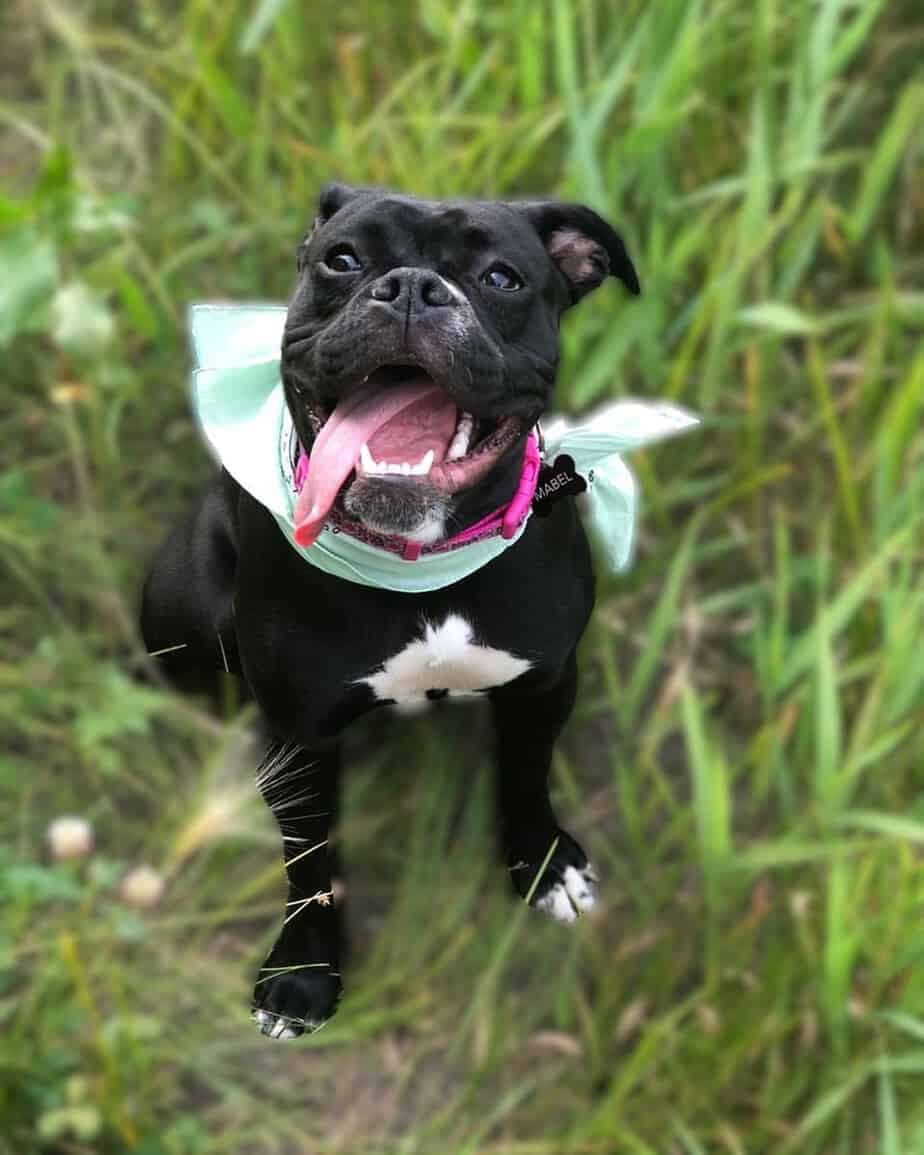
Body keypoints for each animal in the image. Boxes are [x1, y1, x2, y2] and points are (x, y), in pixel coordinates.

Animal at [140, 182, 637, 1039]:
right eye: (342, 259)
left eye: (502, 278)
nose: (410, 287)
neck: (420, 561)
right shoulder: (301, 733)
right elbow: (310, 859)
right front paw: (303, 974)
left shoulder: (544, 683)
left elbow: (526, 775)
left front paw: (544, 866)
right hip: (181, 617)